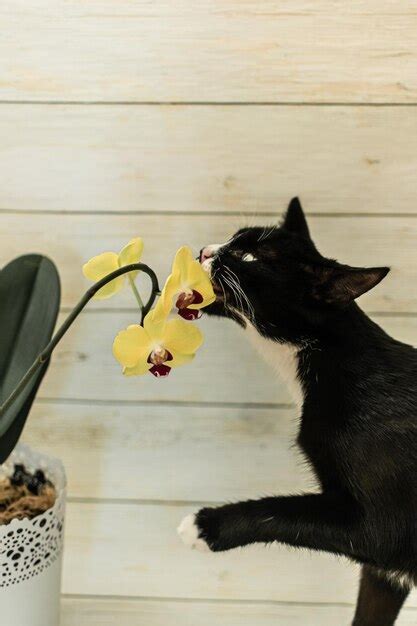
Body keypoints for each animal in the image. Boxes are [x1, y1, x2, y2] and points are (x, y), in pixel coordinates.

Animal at [176, 197, 416, 624]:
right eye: (234, 238)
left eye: (249, 256)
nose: (205, 250)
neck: (324, 357)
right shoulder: (386, 573)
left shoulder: (385, 529)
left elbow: (287, 513)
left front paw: (205, 526)